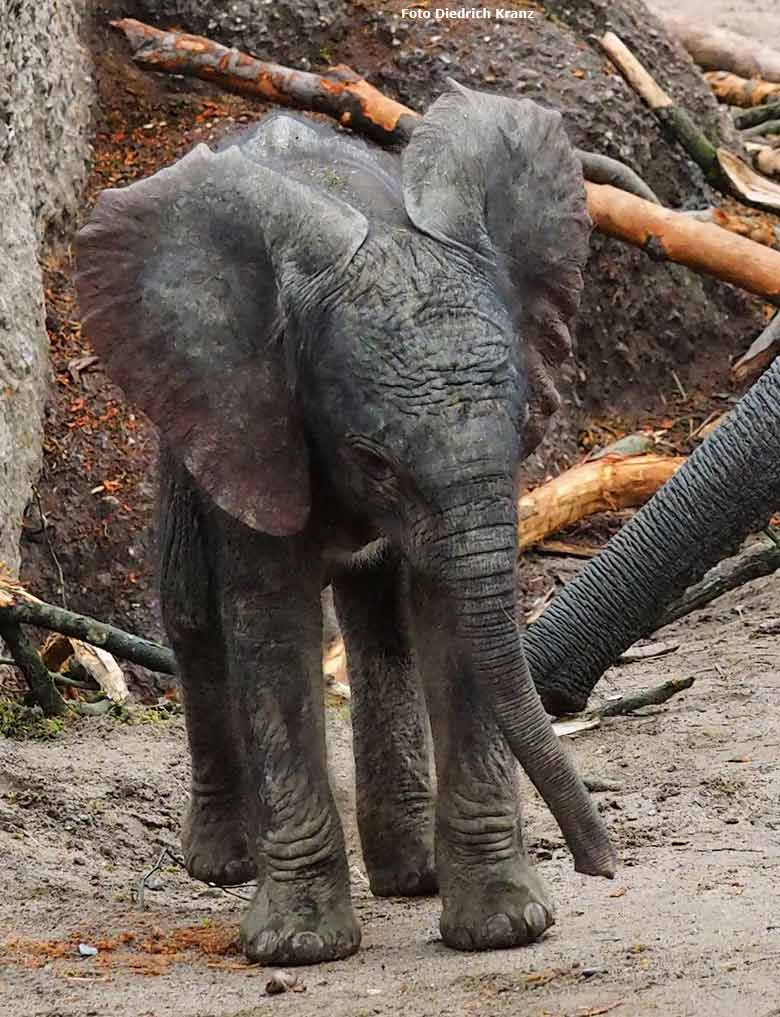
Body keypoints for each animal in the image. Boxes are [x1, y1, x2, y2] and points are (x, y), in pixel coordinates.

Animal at [79, 83, 618, 964]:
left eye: (520, 427)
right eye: (374, 459)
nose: (601, 865)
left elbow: (450, 618)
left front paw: (505, 927)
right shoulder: (250, 414)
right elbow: (269, 628)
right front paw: (300, 945)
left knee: (380, 626)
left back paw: (410, 873)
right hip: (182, 425)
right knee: (191, 610)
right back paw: (222, 865)